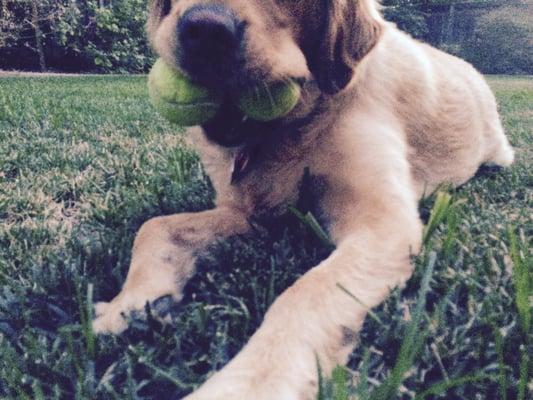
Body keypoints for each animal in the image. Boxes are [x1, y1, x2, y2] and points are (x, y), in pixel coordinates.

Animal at [91, 0, 512, 396]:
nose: (205, 30)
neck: (299, 125)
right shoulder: (251, 212)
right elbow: (155, 226)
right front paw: (131, 302)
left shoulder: (383, 224)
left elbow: (306, 293)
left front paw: (249, 383)